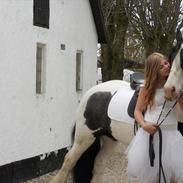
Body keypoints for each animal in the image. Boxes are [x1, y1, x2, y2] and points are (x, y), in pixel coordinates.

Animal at [50, 29, 183, 182]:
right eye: (173, 55)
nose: (170, 90)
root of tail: (91, 91)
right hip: (84, 136)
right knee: (68, 161)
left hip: (110, 138)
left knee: (98, 164)